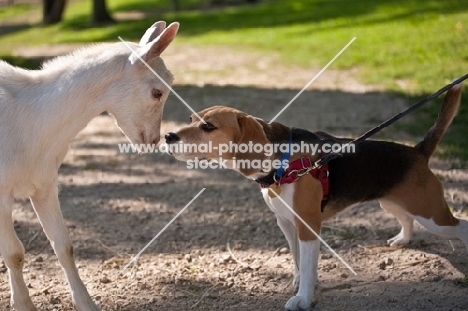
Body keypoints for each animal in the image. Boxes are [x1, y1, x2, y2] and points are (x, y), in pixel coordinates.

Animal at [0, 20, 179, 310]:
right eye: (157, 92)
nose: (152, 140)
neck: (32, 119)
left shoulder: (45, 184)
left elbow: (64, 246)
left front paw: (87, 303)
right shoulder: (2, 191)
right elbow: (14, 252)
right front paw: (24, 305)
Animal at [164, 86, 464, 311]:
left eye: (208, 126)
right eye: (190, 120)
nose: (167, 135)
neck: (282, 161)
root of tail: (417, 151)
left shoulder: (308, 224)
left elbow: (307, 265)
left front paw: (303, 299)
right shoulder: (287, 223)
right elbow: (299, 261)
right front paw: (299, 283)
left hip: (432, 215)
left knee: (461, 226)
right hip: (392, 201)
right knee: (407, 219)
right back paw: (403, 239)